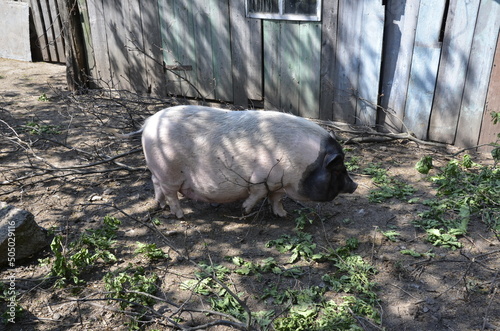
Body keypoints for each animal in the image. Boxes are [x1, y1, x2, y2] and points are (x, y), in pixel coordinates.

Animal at [139, 105, 358, 219]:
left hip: (158, 171)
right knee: (171, 193)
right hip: (169, 173)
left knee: (155, 183)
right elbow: (258, 193)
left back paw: (160, 206)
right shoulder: (261, 178)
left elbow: (276, 198)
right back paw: (179, 215)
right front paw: (245, 210)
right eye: (338, 169)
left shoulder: (279, 182)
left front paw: (282, 215)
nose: (355, 185)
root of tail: (148, 123)